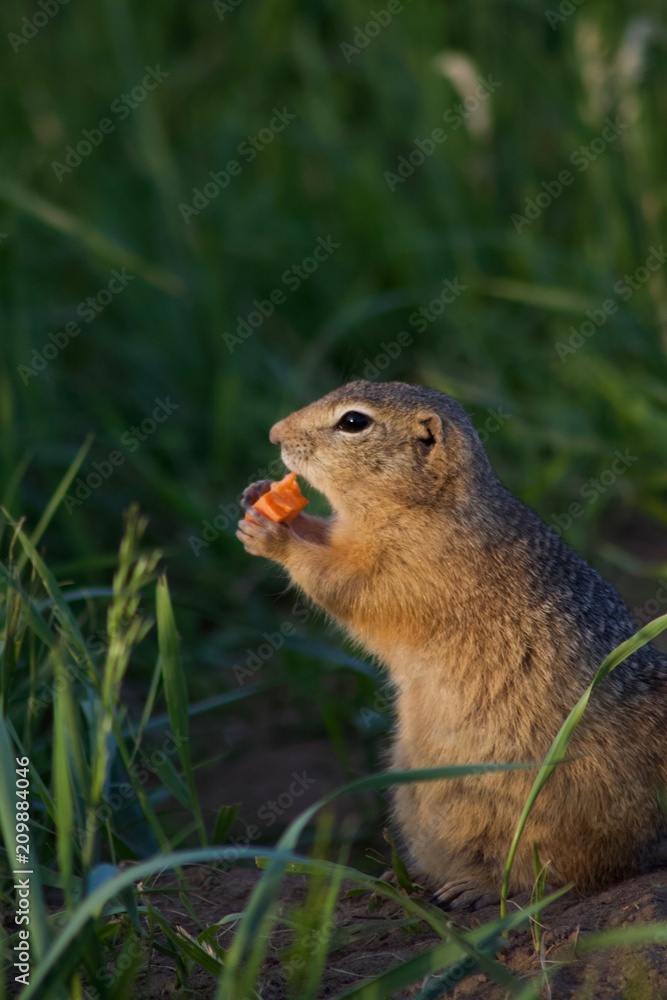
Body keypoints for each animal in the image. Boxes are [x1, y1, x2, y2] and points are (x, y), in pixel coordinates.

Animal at [237, 380, 667, 909]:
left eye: (354, 422)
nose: (275, 434)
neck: (425, 505)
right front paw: (259, 498)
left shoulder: (409, 566)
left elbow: (343, 585)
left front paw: (273, 535)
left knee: (558, 875)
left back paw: (472, 887)